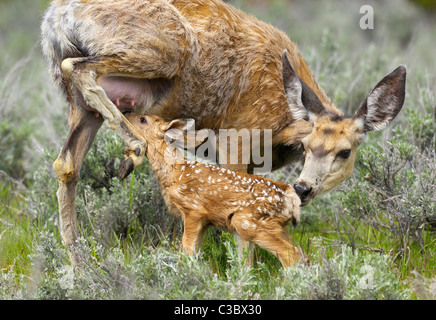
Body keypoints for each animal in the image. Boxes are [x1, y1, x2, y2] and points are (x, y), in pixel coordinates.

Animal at [41, 0, 406, 268]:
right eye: (306, 146)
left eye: (344, 151)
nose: (303, 188)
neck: (283, 122)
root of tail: (57, 16)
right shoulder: (237, 136)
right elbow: (237, 210)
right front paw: (242, 274)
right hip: (162, 50)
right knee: (79, 68)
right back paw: (134, 148)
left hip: (82, 105)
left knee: (66, 164)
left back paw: (79, 264)